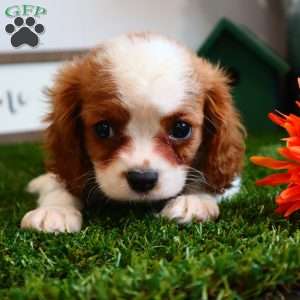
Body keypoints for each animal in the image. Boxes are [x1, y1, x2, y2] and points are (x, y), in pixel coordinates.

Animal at [21, 33, 246, 234]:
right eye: (103, 128)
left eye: (181, 129)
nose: (142, 179)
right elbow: (62, 182)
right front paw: (55, 210)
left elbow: (209, 177)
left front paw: (194, 200)